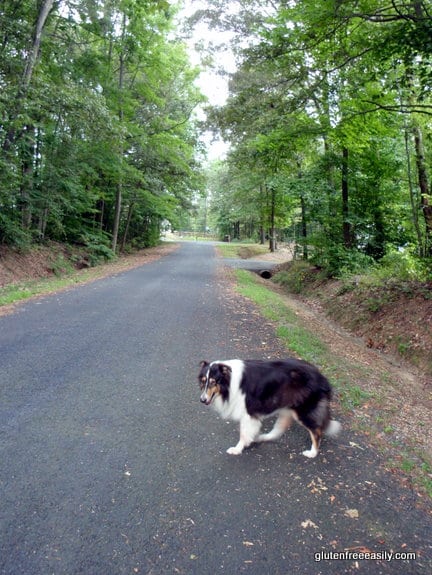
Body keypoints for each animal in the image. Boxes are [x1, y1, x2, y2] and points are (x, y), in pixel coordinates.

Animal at [198, 360, 340, 460]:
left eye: (213, 382)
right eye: (203, 381)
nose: (202, 400)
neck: (230, 381)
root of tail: (323, 378)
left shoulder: (248, 413)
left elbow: (243, 434)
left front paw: (237, 449)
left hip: (303, 411)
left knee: (317, 431)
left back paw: (312, 453)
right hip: (286, 408)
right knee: (279, 429)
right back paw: (262, 437)